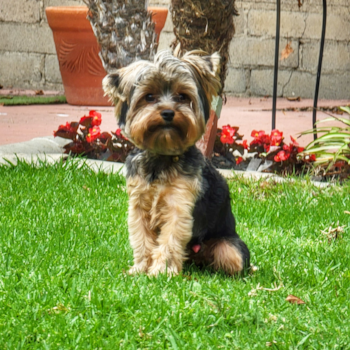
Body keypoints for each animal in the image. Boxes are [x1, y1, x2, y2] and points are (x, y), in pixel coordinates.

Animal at [102, 49, 250, 274]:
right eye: (149, 96)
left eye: (182, 96)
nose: (168, 112)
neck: (162, 156)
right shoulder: (138, 203)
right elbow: (141, 238)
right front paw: (140, 269)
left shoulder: (179, 202)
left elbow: (170, 238)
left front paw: (161, 271)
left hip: (230, 248)